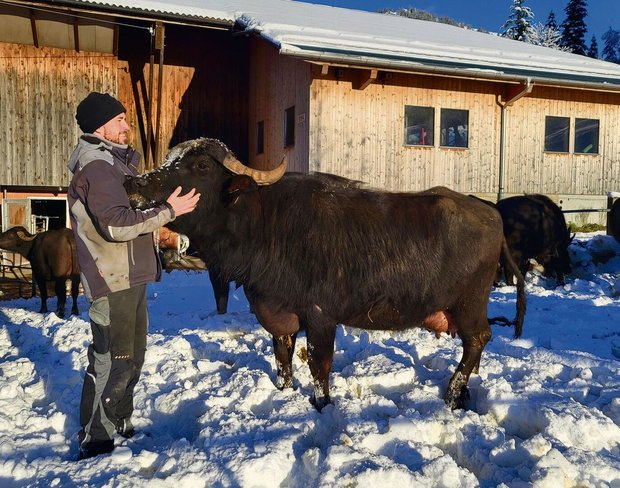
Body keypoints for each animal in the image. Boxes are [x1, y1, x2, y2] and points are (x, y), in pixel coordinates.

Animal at [128, 138, 524, 412]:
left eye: (200, 165)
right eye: (170, 160)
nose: (137, 185)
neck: (265, 225)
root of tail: (492, 214)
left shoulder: (320, 317)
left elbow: (319, 367)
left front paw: (322, 404)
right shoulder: (280, 314)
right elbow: (283, 359)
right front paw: (286, 391)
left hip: (469, 304)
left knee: (478, 340)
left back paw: (452, 393)